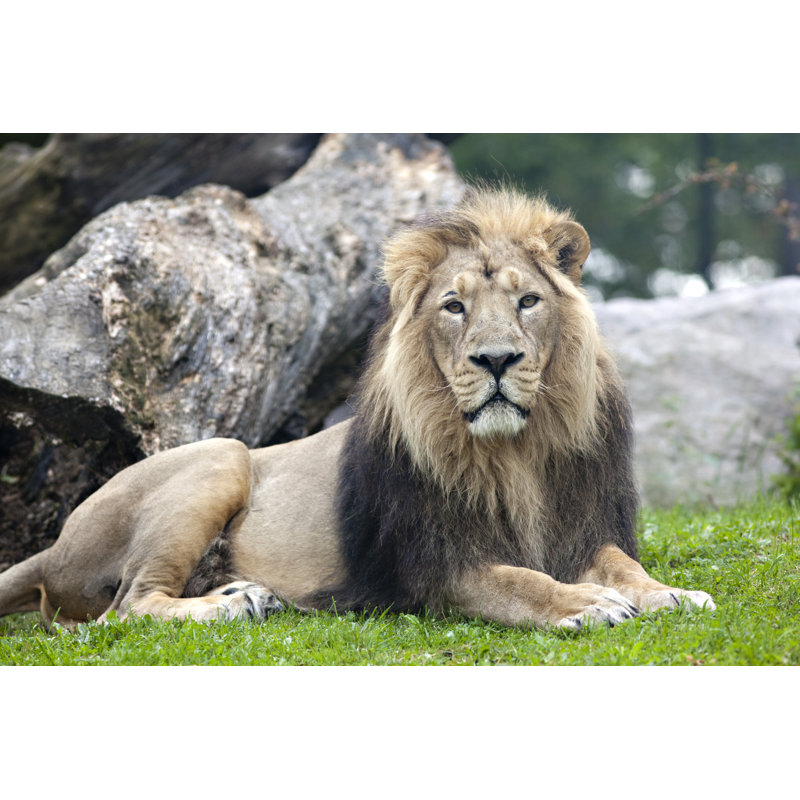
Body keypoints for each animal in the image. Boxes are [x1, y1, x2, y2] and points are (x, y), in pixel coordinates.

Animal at [0, 187, 715, 631]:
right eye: (454, 306)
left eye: (528, 301)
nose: (497, 360)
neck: (515, 453)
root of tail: (54, 544)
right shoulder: (430, 566)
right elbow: (519, 581)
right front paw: (587, 605)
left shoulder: (580, 527)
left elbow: (626, 567)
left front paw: (672, 594)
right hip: (220, 456)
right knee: (126, 606)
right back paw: (235, 604)